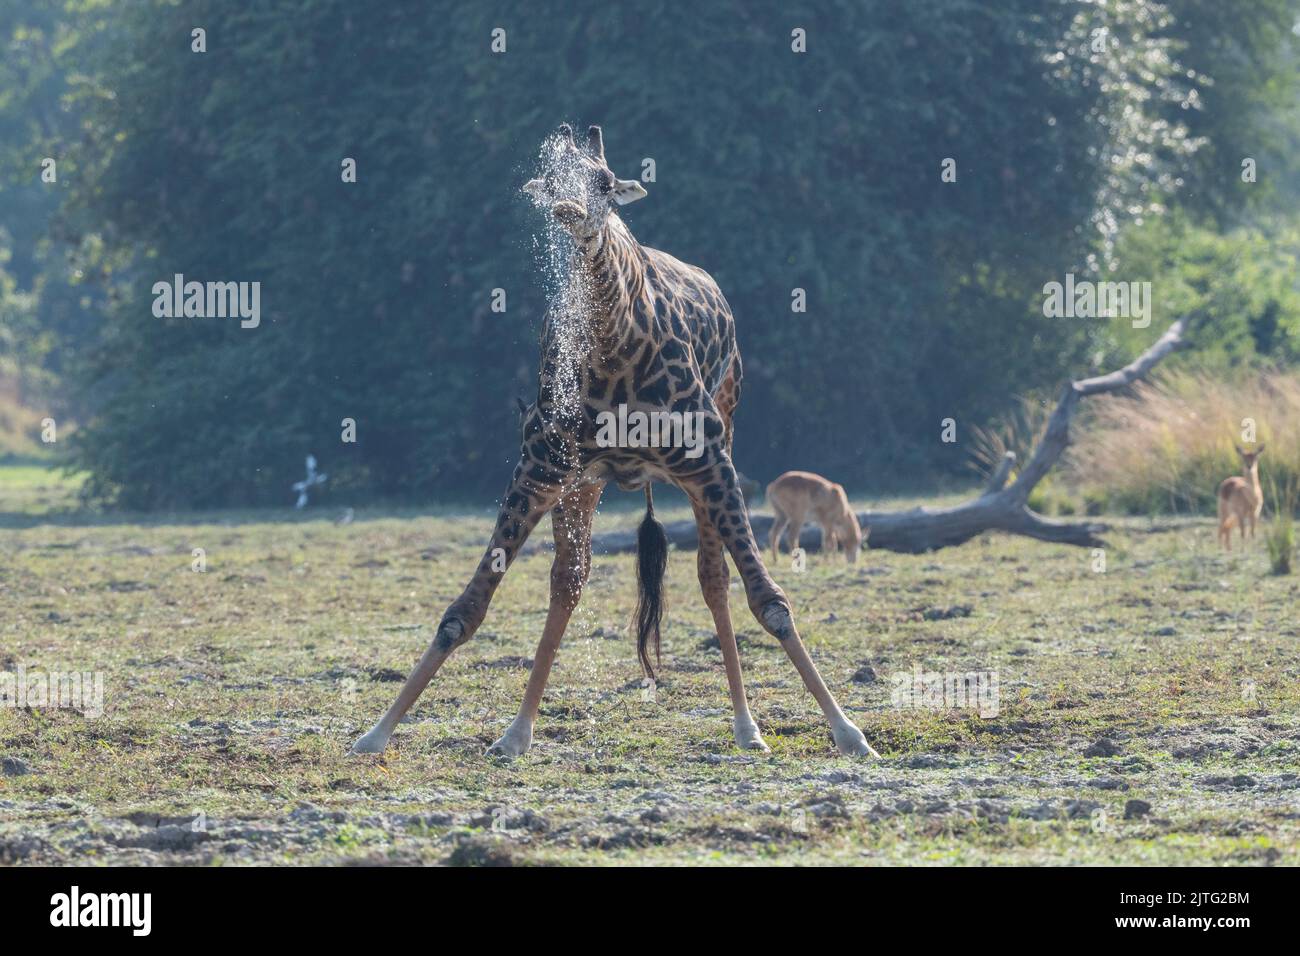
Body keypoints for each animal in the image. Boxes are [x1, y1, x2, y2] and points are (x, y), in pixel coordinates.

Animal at [348, 123, 873, 759]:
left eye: (603, 182)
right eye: (551, 181)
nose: (570, 211)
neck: (618, 350)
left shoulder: (711, 462)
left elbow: (770, 600)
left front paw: (849, 732)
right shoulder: (539, 466)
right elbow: (465, 609)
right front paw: (377, 731)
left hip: (718, 447)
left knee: (713, 577)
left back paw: (747, 727)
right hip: (585, 483)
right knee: (569, 582)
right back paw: (517, 732)